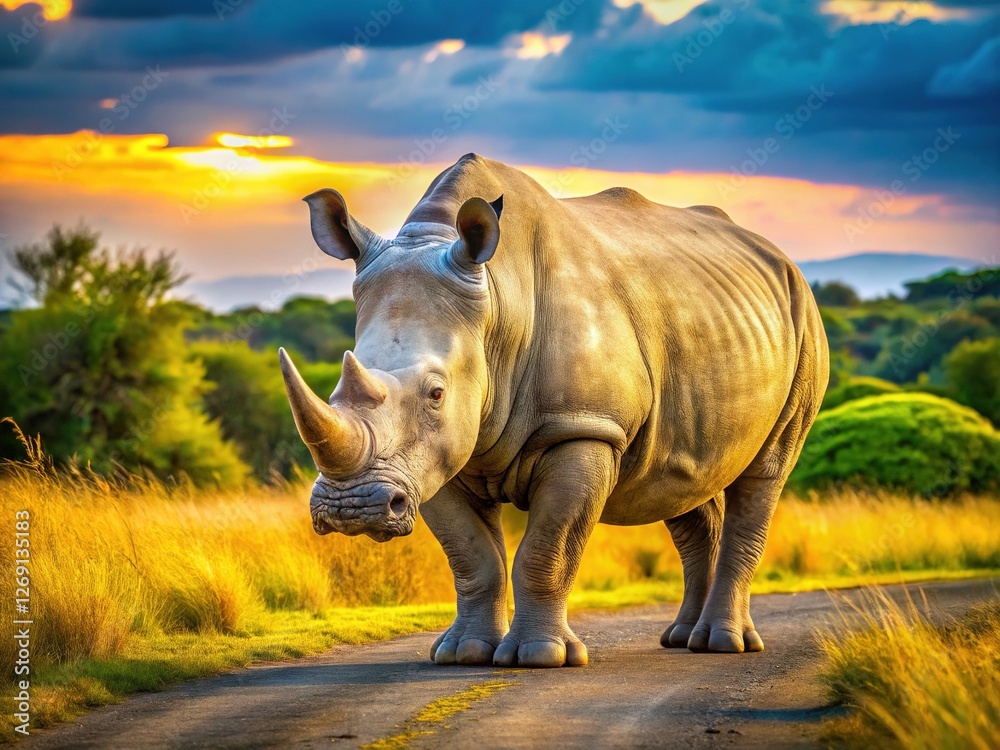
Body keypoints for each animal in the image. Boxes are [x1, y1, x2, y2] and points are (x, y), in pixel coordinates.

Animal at [279, 154, 829, 668]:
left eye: (436, 393)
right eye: (335, 389)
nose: (351, 508)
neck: (497, 300)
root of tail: (781, 259)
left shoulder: (583, 427)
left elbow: (548, 547)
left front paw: (539, 657)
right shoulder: (429, 459)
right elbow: (472, 556)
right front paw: (463, 654)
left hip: (804, 318)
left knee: (764, 474)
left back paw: (722, 644)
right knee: (682, 482)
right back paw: (681, 639)